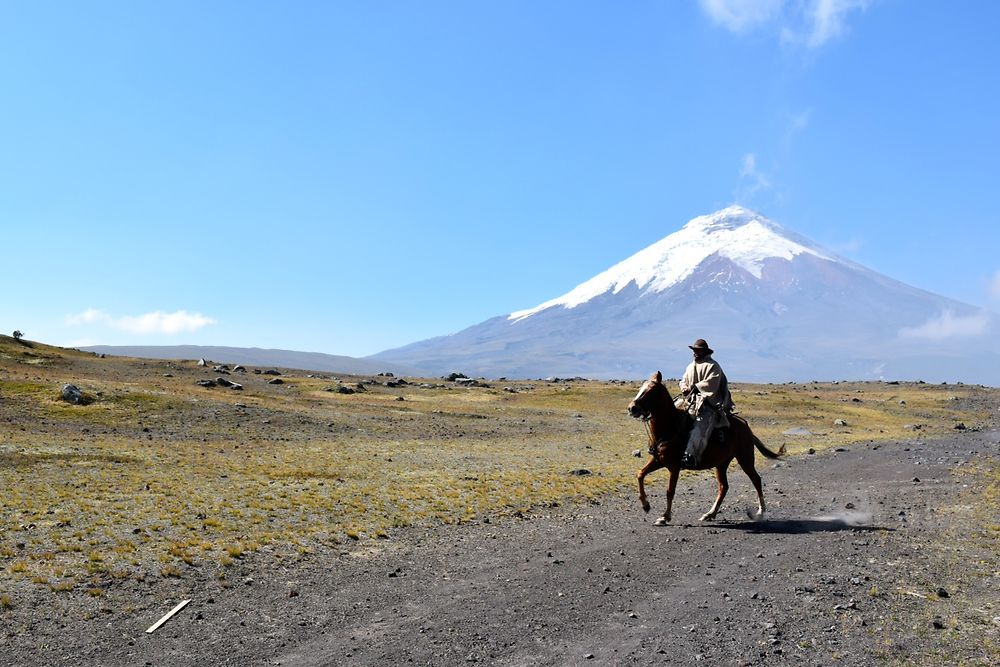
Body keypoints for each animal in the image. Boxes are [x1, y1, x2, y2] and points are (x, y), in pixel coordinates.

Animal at [624, 374, 780, 524]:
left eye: (651, 390)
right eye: (641, 388)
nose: (632, 408)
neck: (670, 426)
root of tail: (746, 428)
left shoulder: (674, 467)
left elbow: (670, 491)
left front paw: (665, 517)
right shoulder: (658, 460)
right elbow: (640, 474)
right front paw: (645, 505)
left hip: (745, 458)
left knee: (756, 480)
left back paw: (760, 512)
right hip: (721, 464)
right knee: (724, 487)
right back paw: (710, 514)